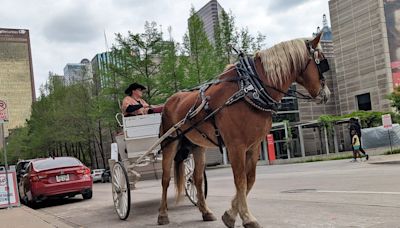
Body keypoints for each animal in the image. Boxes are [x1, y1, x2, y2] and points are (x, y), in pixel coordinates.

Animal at [158, 33, 330, 227]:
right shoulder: (236, 147)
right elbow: (240, 181)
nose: (326, 94)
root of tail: (169, 100)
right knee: (165, 179)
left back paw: (205, 211)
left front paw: (231, 214)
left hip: (197, 147)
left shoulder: (253, 146)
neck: (250, 89)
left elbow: (250, 179)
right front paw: (247, 217)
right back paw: (162, 214)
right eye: (322, 62)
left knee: (197, 178)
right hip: (169, 143)